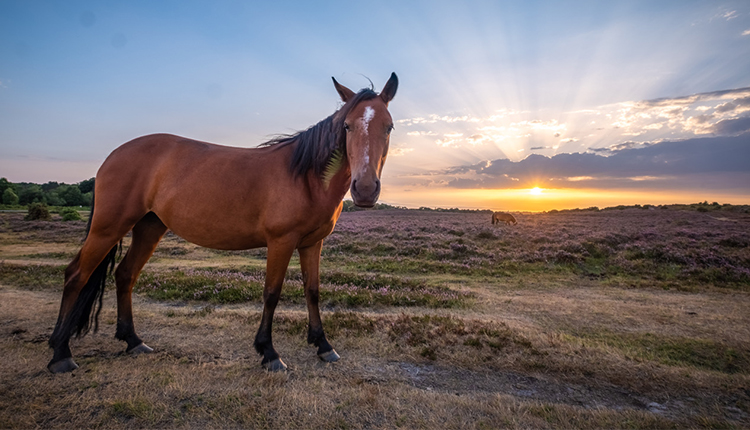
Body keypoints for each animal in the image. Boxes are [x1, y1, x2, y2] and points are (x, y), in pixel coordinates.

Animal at [47, 72, 400, 372]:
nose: (365, 189)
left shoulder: (313, 243)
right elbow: (272, 293)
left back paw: (133, 341)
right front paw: (269, 353)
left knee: (125, 275)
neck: (306, 177)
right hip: (108, 227)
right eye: (348, 126)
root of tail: (114, 155)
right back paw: (61, 353)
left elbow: (312, 291)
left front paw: (323, 345)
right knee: (76, 275)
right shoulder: (281, 242)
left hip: (149, 227)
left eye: (389, 126)